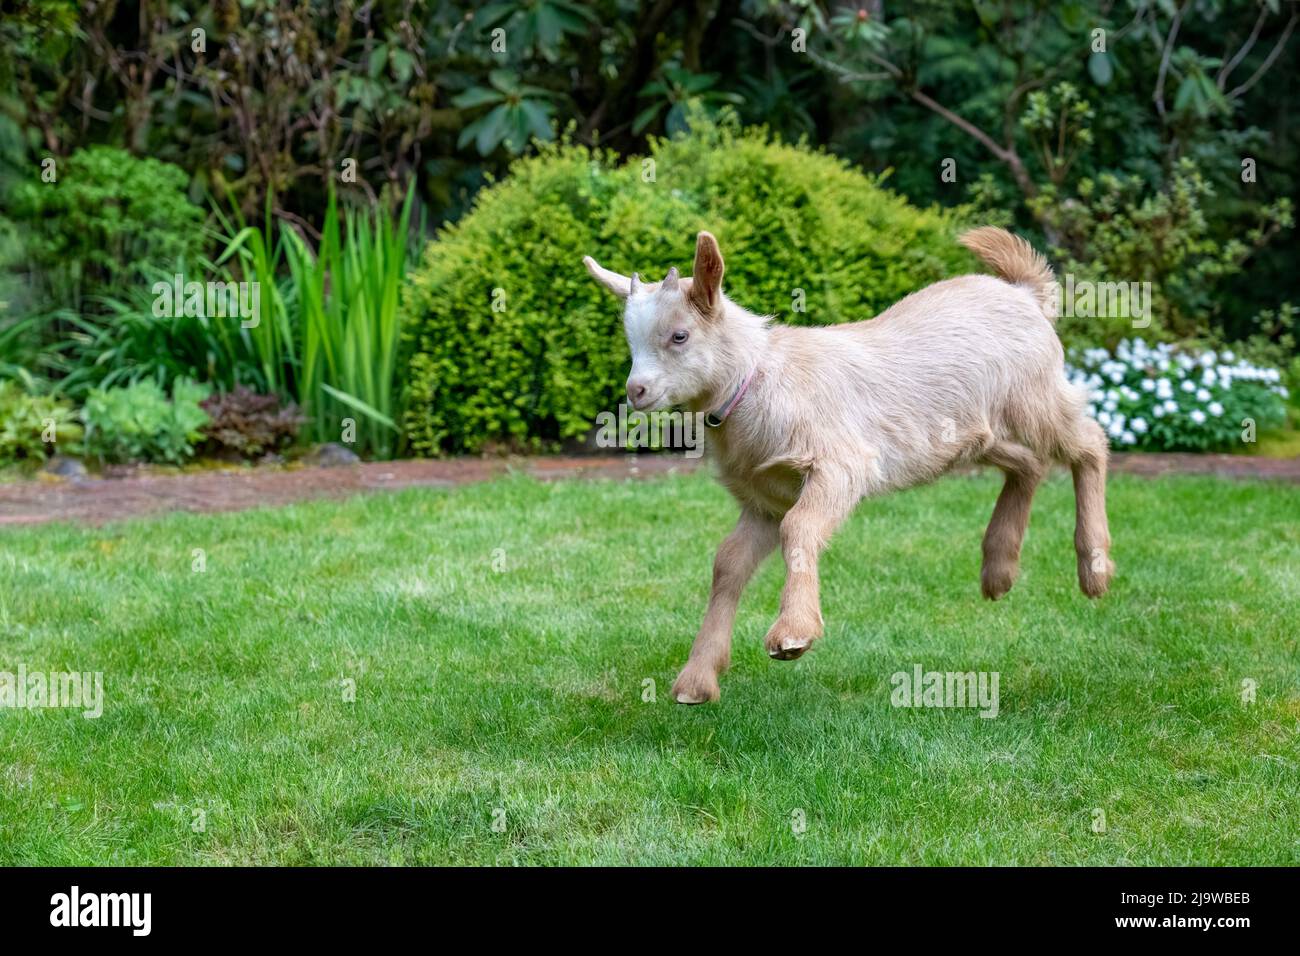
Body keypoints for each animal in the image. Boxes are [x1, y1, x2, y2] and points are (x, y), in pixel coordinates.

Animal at [585, 225, 1112, 702]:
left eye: (680, 335)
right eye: (631, 342)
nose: (636, 391)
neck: (756, 379)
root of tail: (1026, 295)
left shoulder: (839, 464)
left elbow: (799, 528)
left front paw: (792, 634)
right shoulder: (764, 498)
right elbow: (729, 562)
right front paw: (697, 679)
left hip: (1034, 395)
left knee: (1089, 442)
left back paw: (1095, 567)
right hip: (972, 433)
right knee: (1028, 463)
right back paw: (999, 570)